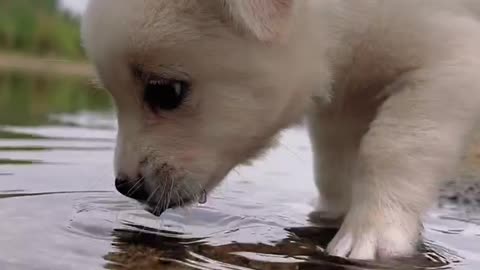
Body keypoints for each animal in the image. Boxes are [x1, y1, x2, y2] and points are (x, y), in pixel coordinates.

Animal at [80, 0, 480, 262]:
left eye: (165, 92)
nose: (125, 187)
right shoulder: (343, 101)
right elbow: (334, 165)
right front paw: (330, 217)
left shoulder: (449, 60)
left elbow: (394, 146)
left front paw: (375, 232)